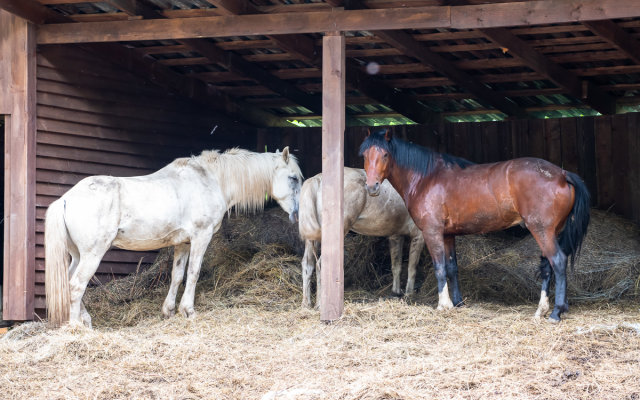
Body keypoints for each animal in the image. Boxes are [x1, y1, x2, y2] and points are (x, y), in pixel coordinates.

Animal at [47, 148, 302, 328]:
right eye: (293, 178)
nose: (297, 214)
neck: (211, 179)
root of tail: (66, 199)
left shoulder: (183, 243)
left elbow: (177, 275)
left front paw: (169, 311)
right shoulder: (201, 237)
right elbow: (194, 273)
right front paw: (188, 311)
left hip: (77, 256)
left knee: (69, 284)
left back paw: (85, 321)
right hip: (92, 254)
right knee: (76, 285)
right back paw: (76, 327)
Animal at [298, 167, 424, 308]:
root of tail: (318, 179)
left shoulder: (396, 236)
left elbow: (396, 265)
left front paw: (396, 292)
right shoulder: (419, 236)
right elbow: (412, 267)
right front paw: (409, 294)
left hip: (313, 238)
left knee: (308, 264)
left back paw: (306, 304)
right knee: (322, 264)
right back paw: (320, 304)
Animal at [360, 129, 592, 322]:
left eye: (385, 155)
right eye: (365, 155)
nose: (372, 187)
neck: (426, 178)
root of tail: (562, 175)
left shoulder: (432, 232)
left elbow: (439, 267)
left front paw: (443, 305)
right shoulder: (447, 235)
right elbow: (452, 268)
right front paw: (458, 303)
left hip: (542, 231)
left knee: (558, 262)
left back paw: (555, 313)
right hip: (552, 231)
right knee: (547, 267)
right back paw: (541, 310)